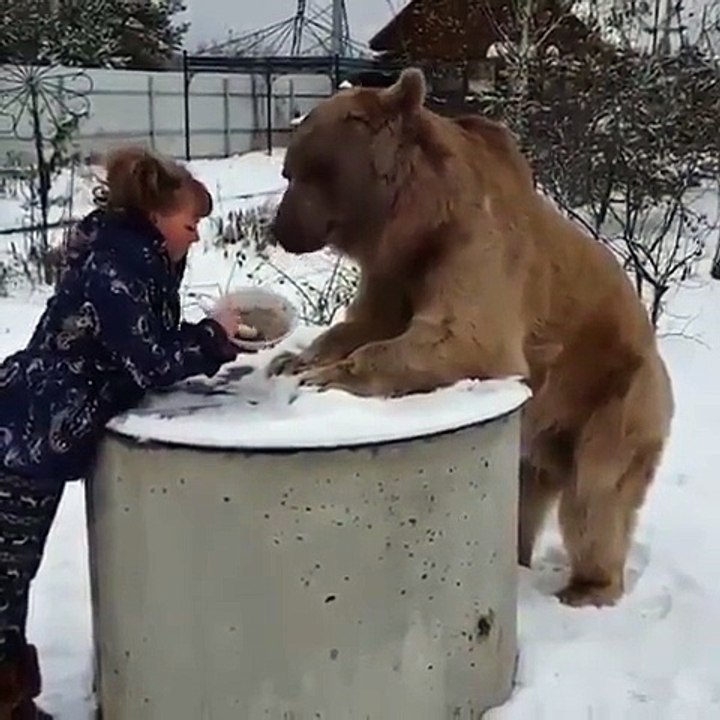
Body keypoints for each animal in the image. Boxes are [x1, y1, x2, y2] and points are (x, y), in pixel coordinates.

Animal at [268, 68, 675, 608]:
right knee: (525, 494)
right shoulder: (395, 274)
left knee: (595, 494)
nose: (281, 228)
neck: (415, 220)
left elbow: (463, 337)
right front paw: (294, 360)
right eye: (289, 170)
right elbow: (363, 324)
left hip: (614, 395)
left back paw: (587, 587)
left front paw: (324, 377)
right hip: (539, 433)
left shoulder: (473, 247)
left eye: (320, 168)